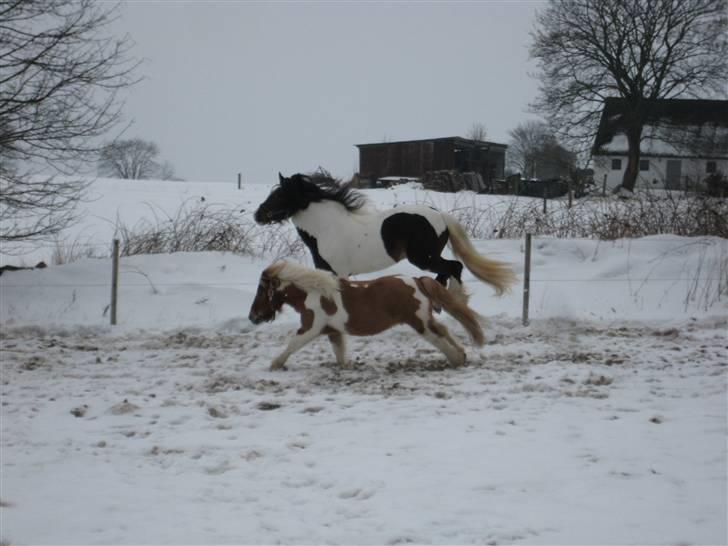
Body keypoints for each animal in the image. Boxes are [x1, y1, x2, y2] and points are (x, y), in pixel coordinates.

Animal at [247, 260, 486, 370]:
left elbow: (291, 346)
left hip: (420, 322)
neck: (313, 293)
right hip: (424, 320)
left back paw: (457, 359)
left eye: (261, 290)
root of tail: (417, 280)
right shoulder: (333, 332)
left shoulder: (310, 328)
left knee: (439, 336)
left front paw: (275, 365)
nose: (253, 316)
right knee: (443, 330)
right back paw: (461, 356)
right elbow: (340, 354)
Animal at [253, 172, 516, 298]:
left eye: (279, 195)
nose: (258, 214)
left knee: (454, 267)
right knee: (447, 271)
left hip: (423, 257)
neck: (327, 228)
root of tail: (440, 215)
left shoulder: (338, 272)